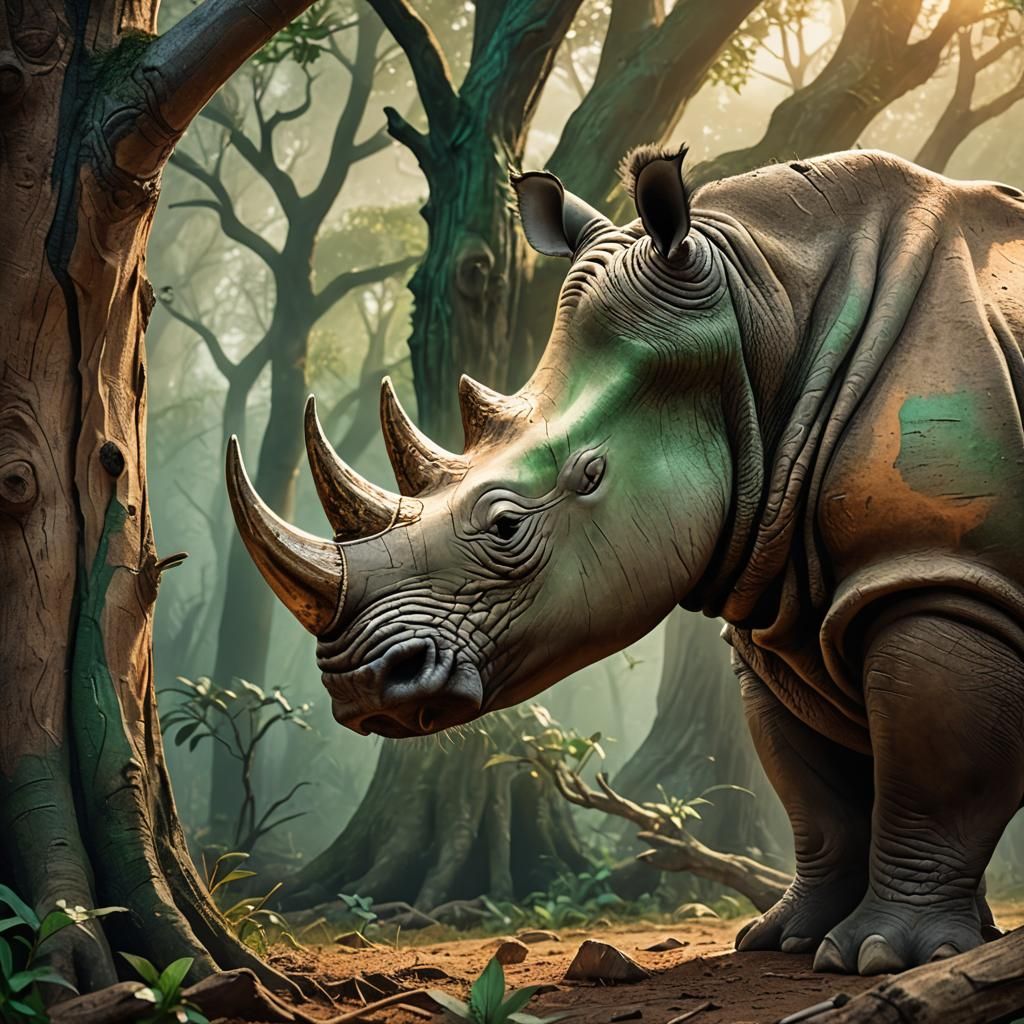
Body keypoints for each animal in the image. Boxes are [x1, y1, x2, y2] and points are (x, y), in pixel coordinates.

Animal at [226, 146, 1024, 976]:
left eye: (507, 525)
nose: (361, 686)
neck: (758, 314)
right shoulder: (779, 602)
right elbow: (816, 790)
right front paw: (787, 941)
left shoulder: (935, 572)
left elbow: (932, 771)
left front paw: (881, 956)